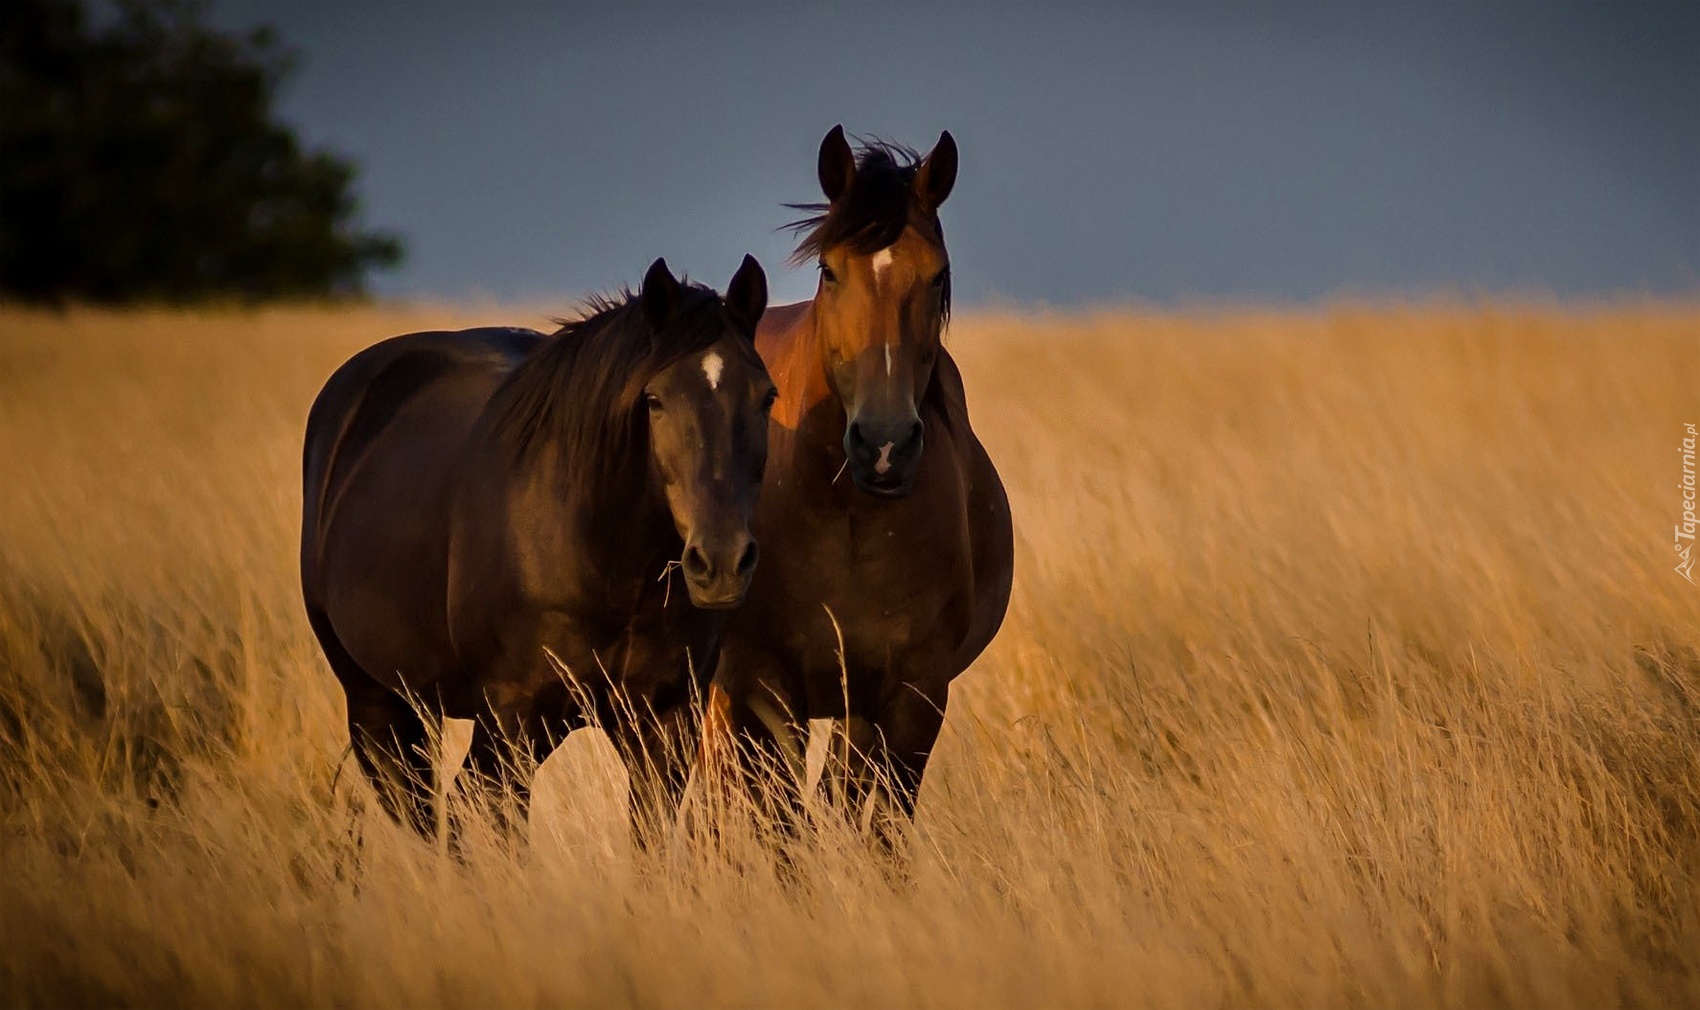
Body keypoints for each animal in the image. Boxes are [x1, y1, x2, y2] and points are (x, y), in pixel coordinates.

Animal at [306, 253, 778, 839]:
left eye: (767, 397)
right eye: (654, 400)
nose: (721, 564)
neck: (607, 562)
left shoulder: (665, 722)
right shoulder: (514, 718)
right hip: (378, 704)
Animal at [700, 127, 1013, 839]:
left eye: (938, 274)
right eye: (829, 270)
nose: (884, 444)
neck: (844, 514)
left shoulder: (910, 696)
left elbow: (879, 830)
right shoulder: (763, 686)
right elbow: (780, 828)